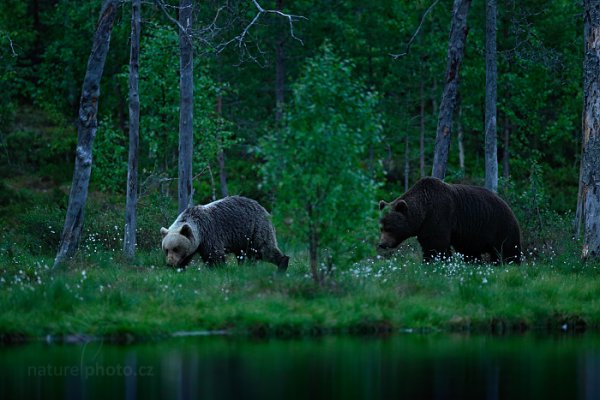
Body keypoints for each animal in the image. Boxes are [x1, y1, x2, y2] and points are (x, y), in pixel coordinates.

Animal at [161, 195, 290, 270]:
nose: (169, 262)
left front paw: (218, 268)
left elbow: (214, 255)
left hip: (255, 228)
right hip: (241, 238)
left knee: (265, 249)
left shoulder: (210, 234)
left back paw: (282, 264)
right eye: (166, 249)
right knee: (245, 254)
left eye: (176, 248)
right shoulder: (195, 243)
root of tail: (263, 208)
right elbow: (187, 257)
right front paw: (180, 267)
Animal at [378, 177, 524, 264]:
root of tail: (509, 207)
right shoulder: (425, 227)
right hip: (473, 235)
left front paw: (433, 262)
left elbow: (436, 244)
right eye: (381, 228)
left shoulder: (438, 216)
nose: (382, 244)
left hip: (500, 226)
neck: (424, 212)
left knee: (508, 250)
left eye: (390, 228)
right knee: (471, 251)